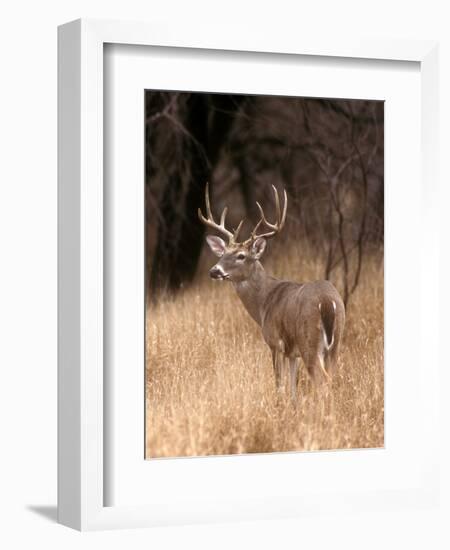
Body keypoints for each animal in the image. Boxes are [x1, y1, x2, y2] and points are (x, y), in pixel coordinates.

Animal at [199, 183, 346, 404]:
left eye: (241, 256)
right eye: (223, 253)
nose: (214, 271)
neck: (264, 303)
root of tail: (327, 302)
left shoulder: (275, 342)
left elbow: (280, 385)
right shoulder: (292, 353)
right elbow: (293, 387)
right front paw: (293, 407)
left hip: (309, 340)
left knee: (322, 381)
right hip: (335, 341)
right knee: (332, 378)